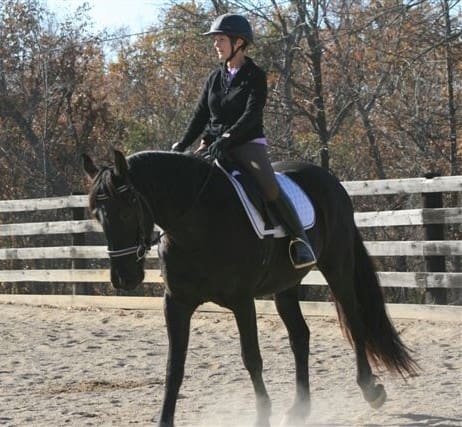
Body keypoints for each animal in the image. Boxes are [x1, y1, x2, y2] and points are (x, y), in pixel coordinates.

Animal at [84, 150, 418, 427]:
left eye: (127, 209)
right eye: (96, 215)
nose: (124, 278)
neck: (196, 222)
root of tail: (329, 180)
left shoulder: (242, 301)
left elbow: (251, 359)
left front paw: (261, 417)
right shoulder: (176, 303)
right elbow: (173, 366)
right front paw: (164, 421)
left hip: (337, 268)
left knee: (355, 322)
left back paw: (370, 390)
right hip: (286, 287)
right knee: (300, 337)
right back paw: (298, 410)